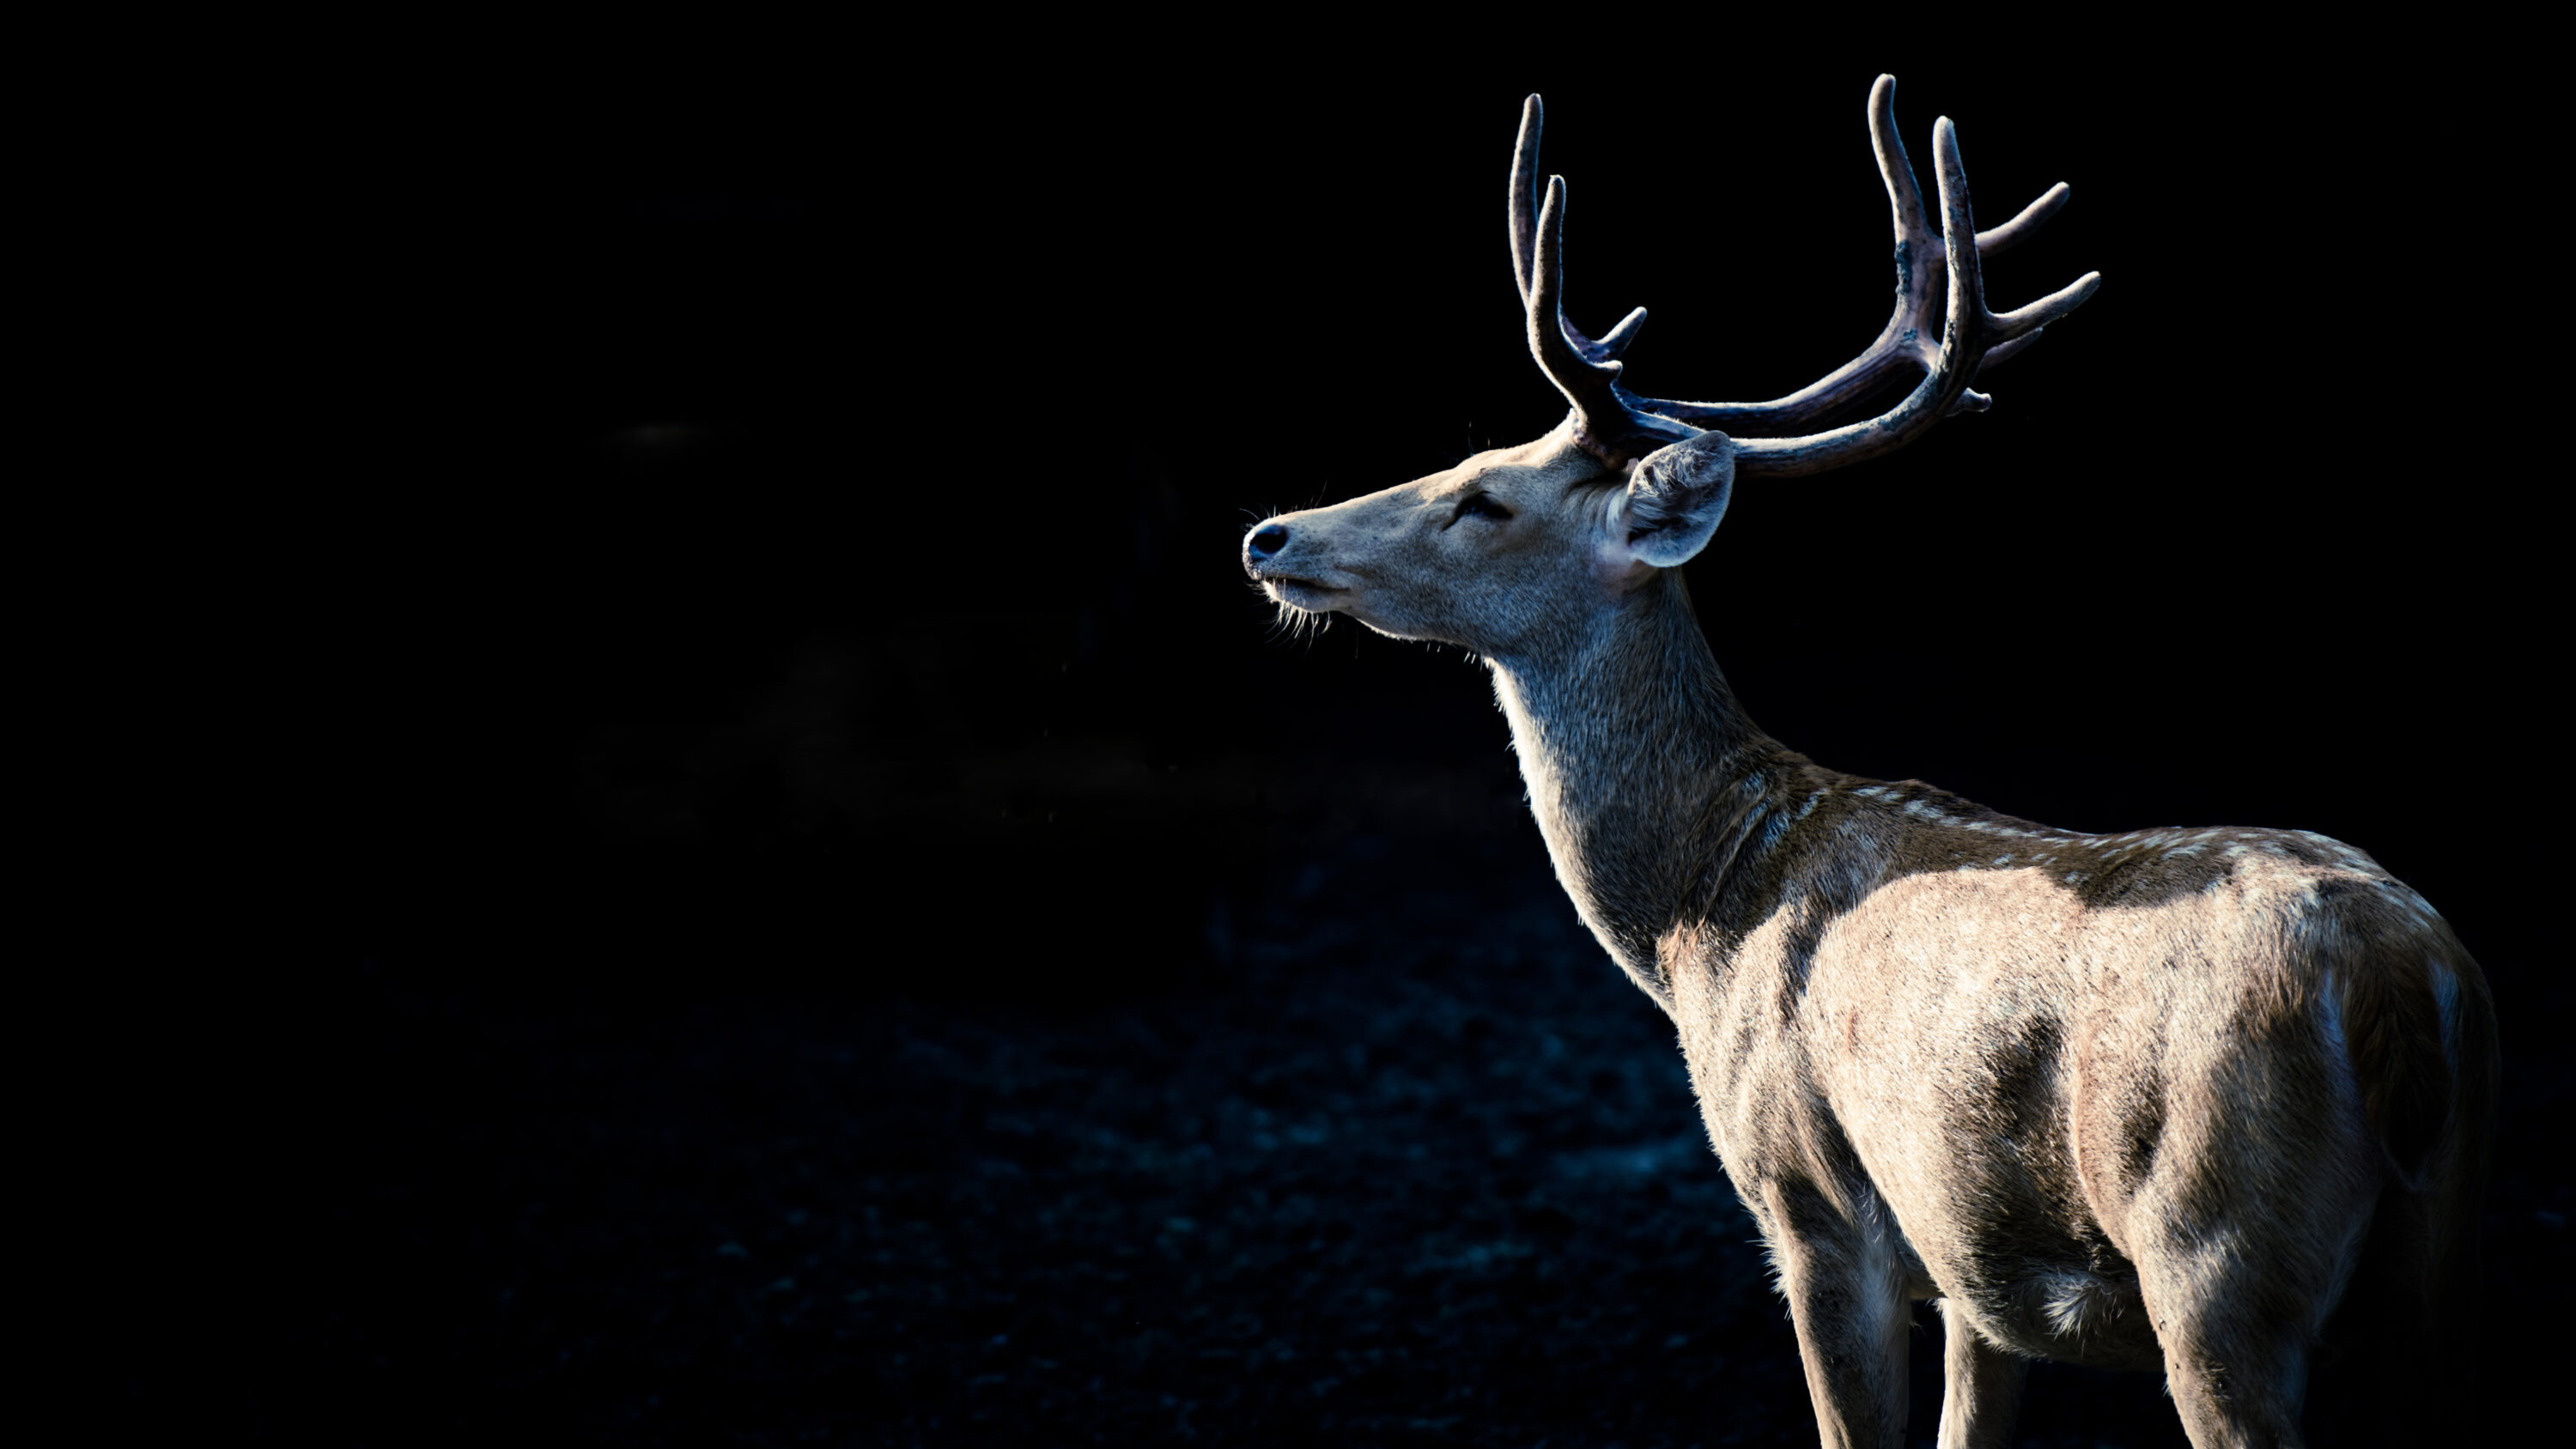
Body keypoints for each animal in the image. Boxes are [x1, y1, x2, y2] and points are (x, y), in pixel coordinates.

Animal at [1237, 77, 2495, 1448]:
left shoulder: (1817, 1201)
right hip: (2433, 1266)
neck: (1701, 916)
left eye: (1483, 500)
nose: (1271, 533)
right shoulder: (1977, 1264)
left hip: (2215, 1254)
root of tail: (2404, 986)